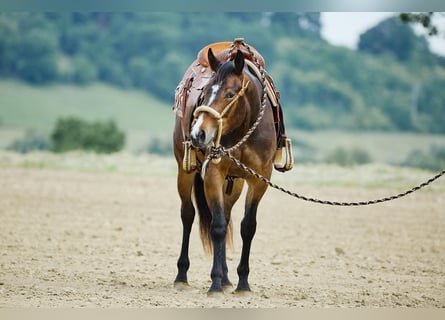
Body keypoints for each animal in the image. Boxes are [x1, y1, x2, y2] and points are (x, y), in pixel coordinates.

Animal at [173, 43, 280, 296]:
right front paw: (215, 283)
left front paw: (242, 283)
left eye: (230, 94)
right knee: (188, 215)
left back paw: (227, 279)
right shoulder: (213, 174)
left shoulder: (259, 180)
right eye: (205, 92)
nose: (198, 134)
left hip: (235, 183)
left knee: (227, 214)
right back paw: (182, 276)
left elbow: (247, 227)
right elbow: (218, 226)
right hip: (184, 171)